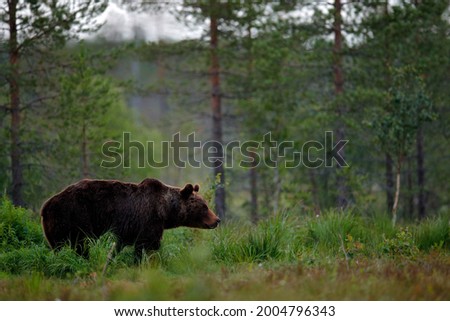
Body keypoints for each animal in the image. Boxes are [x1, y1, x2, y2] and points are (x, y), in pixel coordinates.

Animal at [40, 176, 220, 262]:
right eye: (204, 206)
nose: (217, 220)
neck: (165, 211)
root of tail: (46, 205)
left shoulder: (129, 229)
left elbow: (120, 246)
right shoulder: (148, 221)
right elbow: (147, 246)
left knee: (59, 247)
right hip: (74, 216)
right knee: (80, 244)